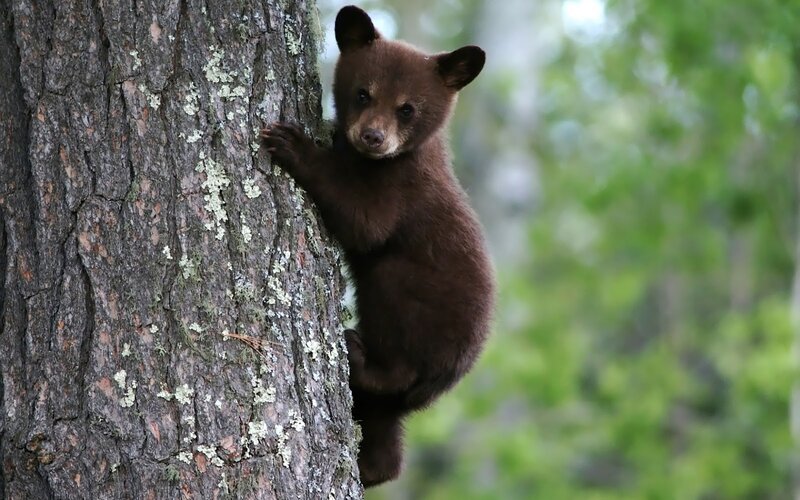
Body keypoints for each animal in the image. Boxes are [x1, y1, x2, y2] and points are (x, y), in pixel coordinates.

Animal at [261, 5, 496, 488]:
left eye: (407, 108)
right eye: (362, 94)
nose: (372, 137)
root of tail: (447, 378)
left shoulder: (401, 189)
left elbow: (365, 223)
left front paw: (294, 144)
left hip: (416, 308)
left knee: (394, 346)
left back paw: (359, 353)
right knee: (385, 432)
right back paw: (372, 467)